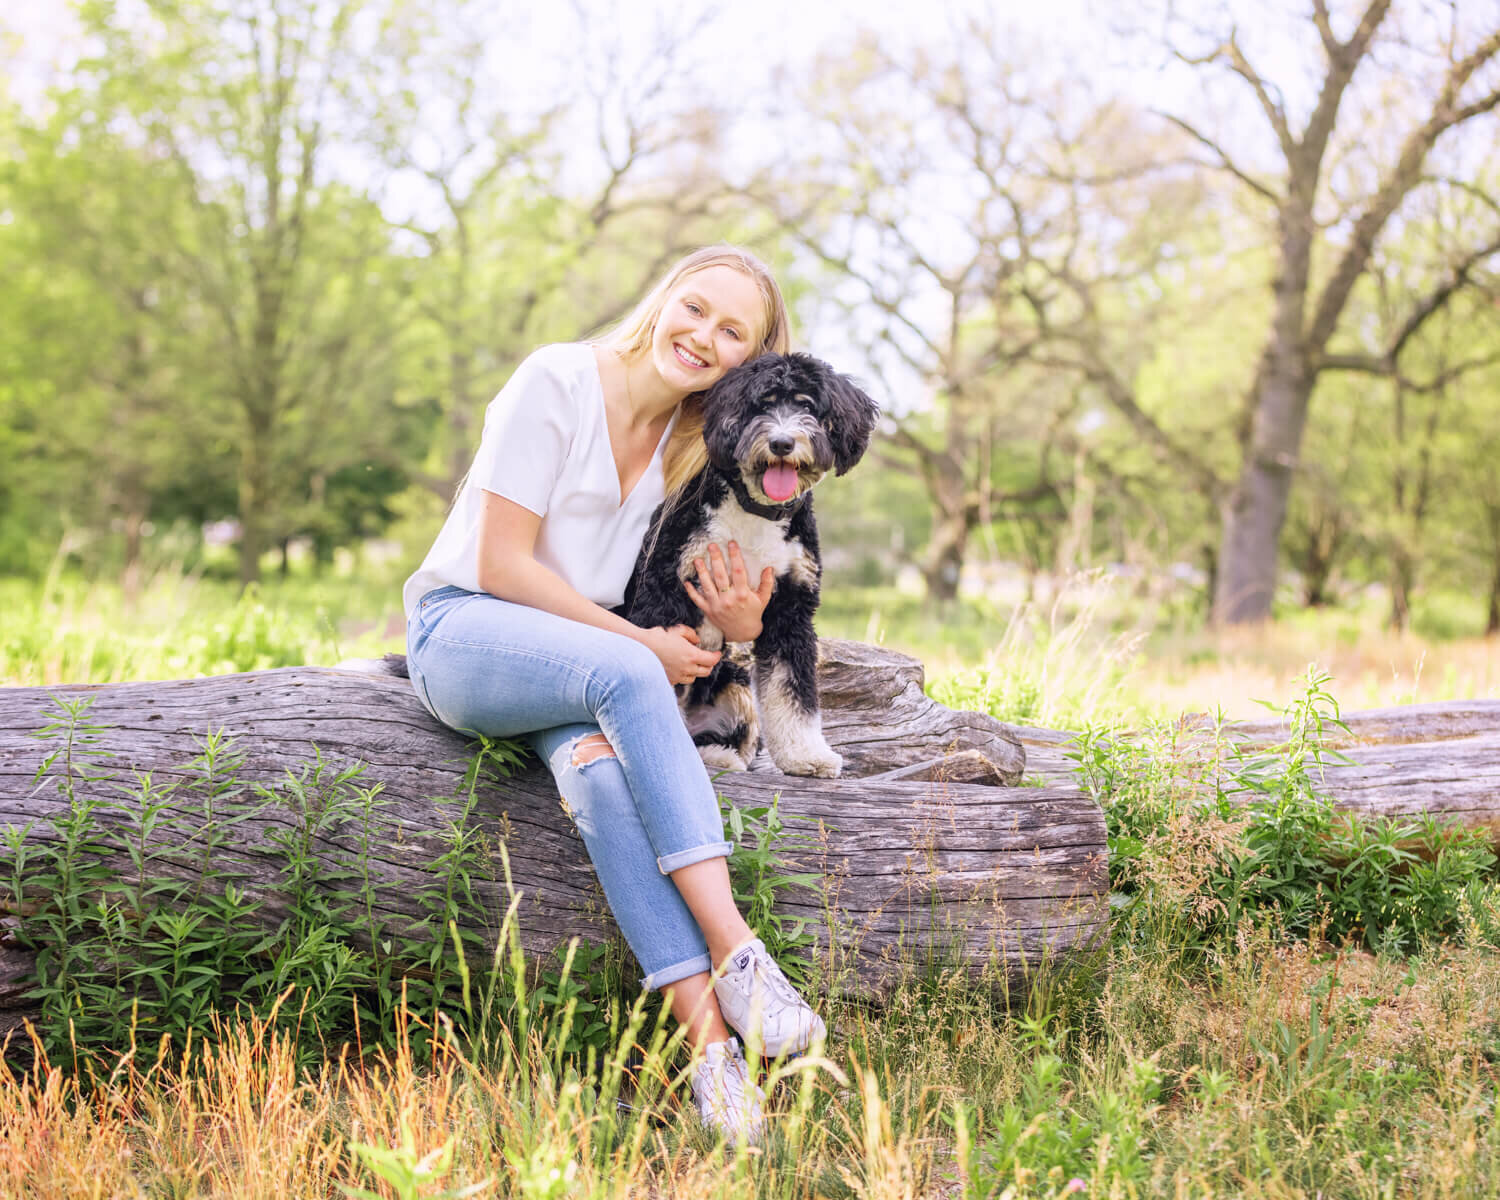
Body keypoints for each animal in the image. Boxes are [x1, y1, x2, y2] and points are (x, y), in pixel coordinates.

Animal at [618, 349, 876, 780]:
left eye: (807, 406)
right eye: (763, 404)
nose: (782, 442)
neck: (756, 510)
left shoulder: (790, 609)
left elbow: (793, 690)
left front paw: (806, 755)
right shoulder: (665, 594)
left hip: (736, 686)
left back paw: (719, 755)